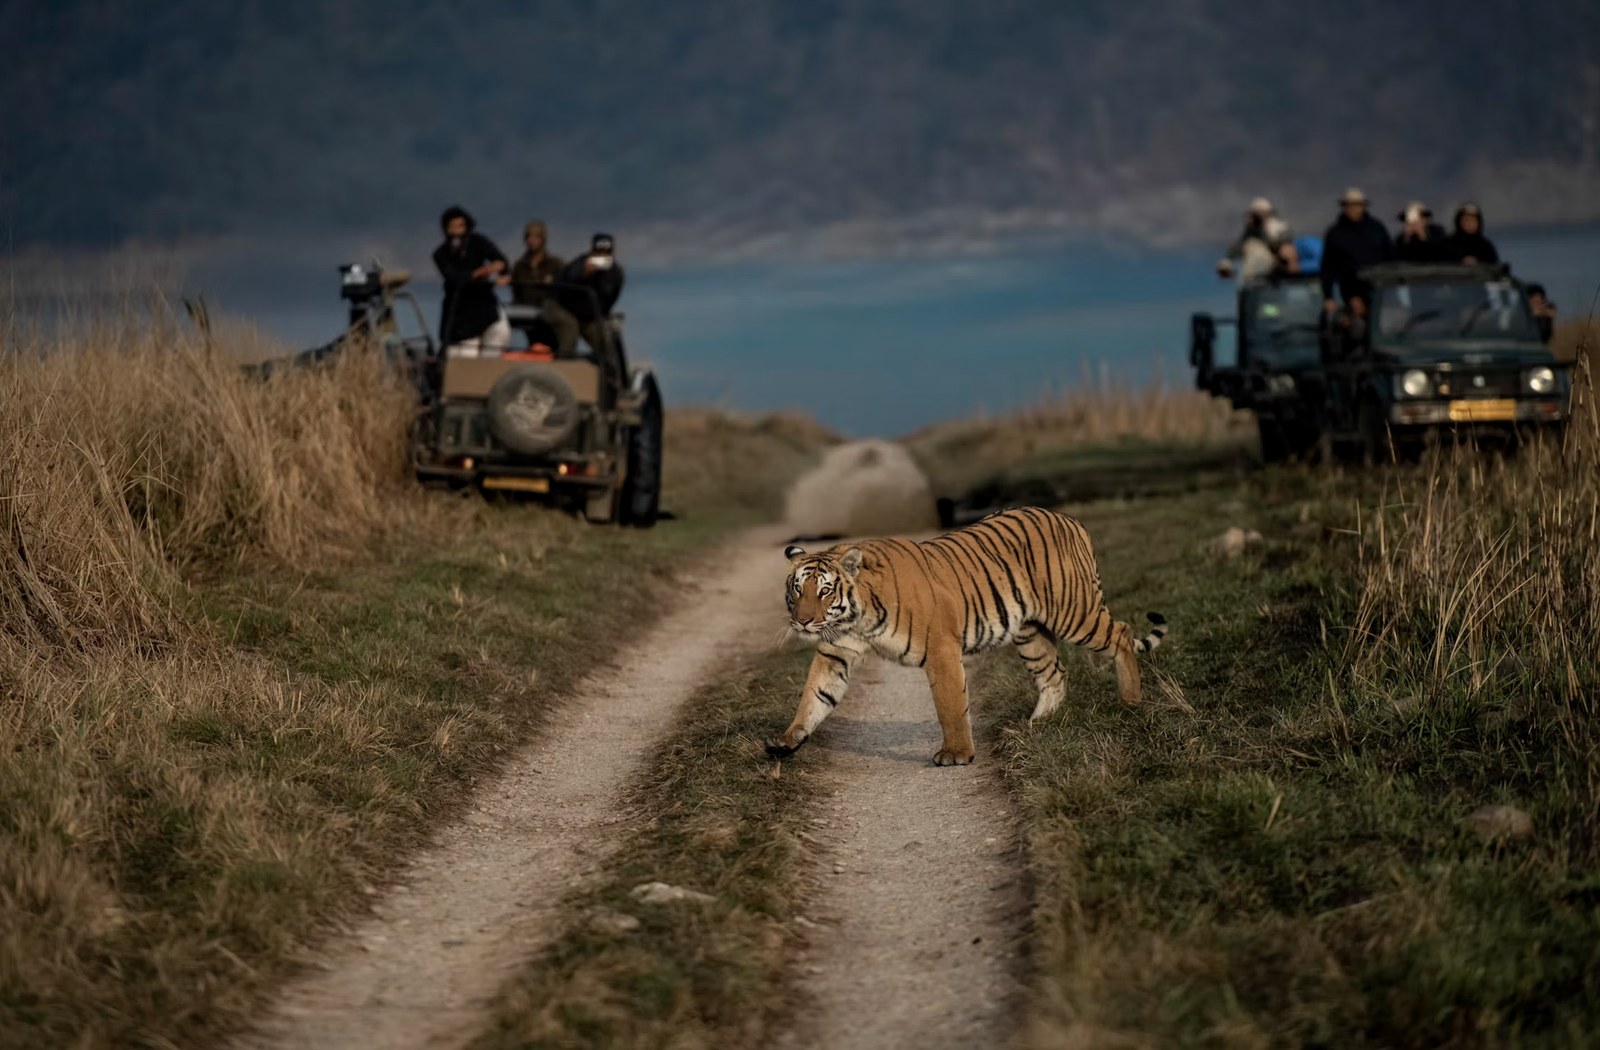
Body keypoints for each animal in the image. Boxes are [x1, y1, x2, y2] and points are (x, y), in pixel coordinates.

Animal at [767, 506, 1166, 766]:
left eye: (824, 591)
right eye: (797, 589)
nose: (802, 622)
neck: (858, 616)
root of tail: (1070, 519)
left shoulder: (941, 649)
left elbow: (949, 705)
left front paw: (956, 754)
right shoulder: (836, 651)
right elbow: (814, 696)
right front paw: (788, 740)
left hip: (1074, 612)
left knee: (1121, 633)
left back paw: (1131, 701)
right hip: (1029, 633)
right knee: (1054, 673)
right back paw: (1036, 724)